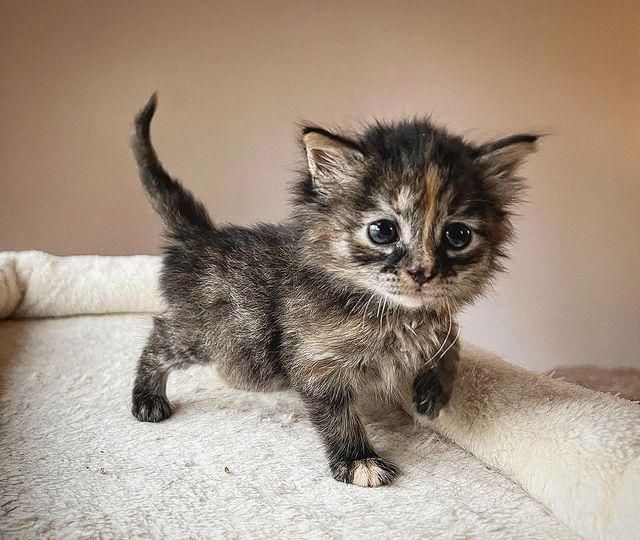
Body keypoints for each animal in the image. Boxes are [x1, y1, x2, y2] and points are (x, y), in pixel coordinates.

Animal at [129, 95, 536, 488]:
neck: (392, 313)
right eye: (383, 231)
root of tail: (201, 237)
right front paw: (359, 461)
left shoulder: (436, 317)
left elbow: (451, 339)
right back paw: (148, 398)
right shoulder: (315, 362)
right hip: (207, 334)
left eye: (458, 236)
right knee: (160, 337)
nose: (423, 272)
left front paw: (432, 392)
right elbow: (338, 416)